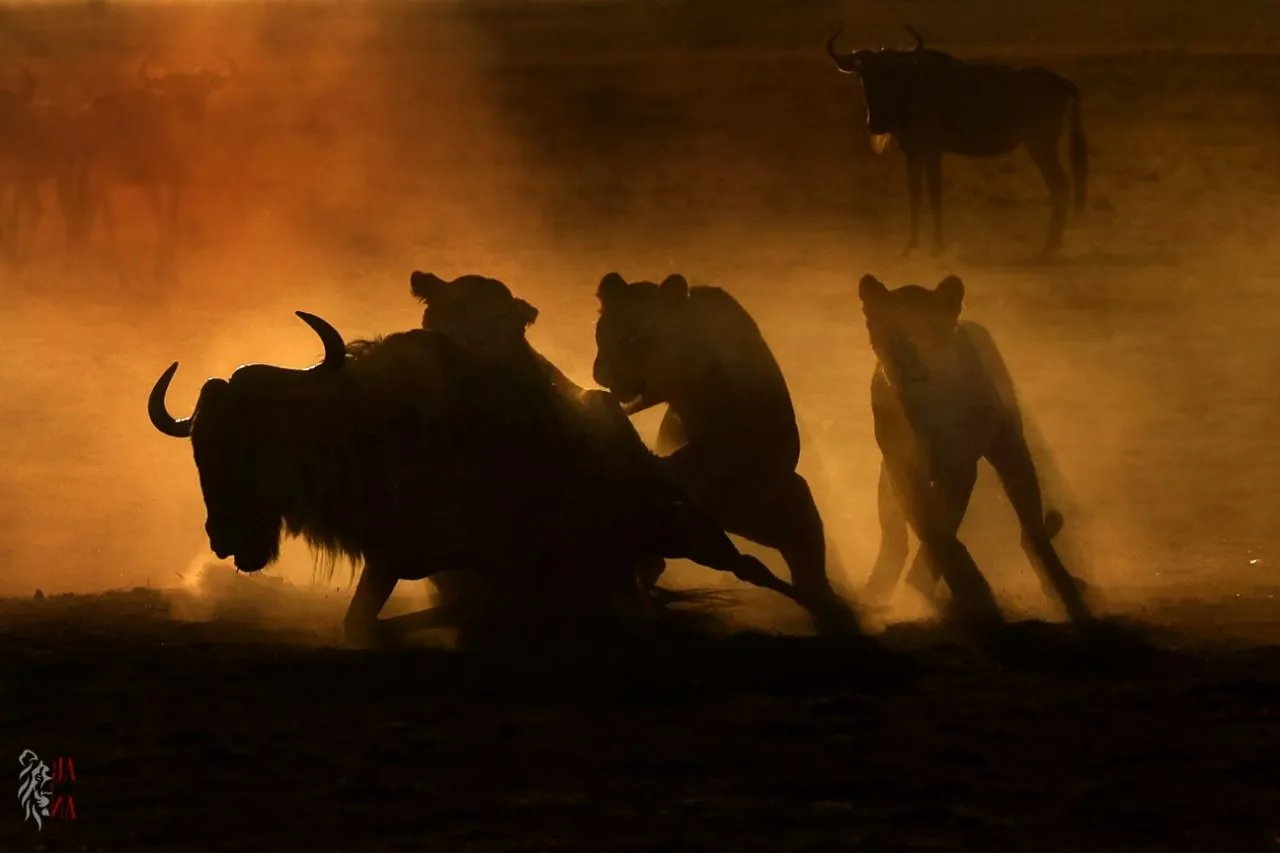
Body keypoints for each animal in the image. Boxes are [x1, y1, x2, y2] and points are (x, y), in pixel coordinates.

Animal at [591, 271, 847, 622]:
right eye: (602, 333)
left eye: (635, 337)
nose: (600, 372)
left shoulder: (735, 433)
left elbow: (696, 457)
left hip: (787, 507)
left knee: (808, 576)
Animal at [857, 272, 1091, 626]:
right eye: (888, 327)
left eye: (928, 327)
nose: (904, 361)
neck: (928, 403)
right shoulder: (904, 470)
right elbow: (935, 532)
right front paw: (947, 589)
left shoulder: (962, 466)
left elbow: (948, 528)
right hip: (890, 480)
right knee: (895, 540)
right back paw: (877, 592)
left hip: (1007, 450)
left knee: (1030, 528)